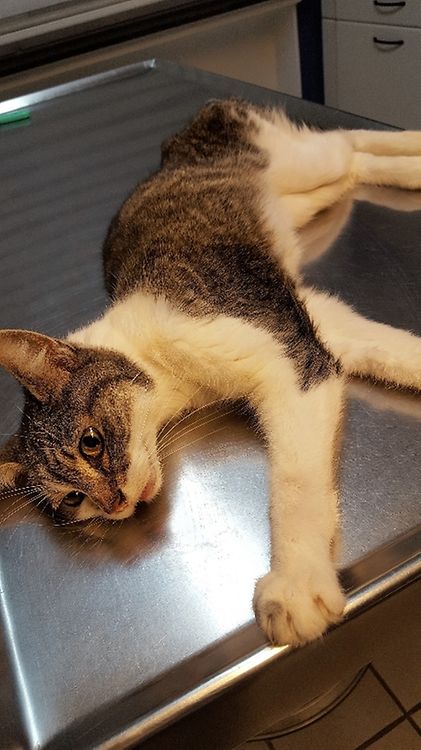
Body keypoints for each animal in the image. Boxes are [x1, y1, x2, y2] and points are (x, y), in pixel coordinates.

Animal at [1, 99, 421, 647]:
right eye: (73, 499)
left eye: (90, 442)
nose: (114, 504)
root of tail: (179, 139)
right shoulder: (310, 325)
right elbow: (389, 349)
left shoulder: (290, 360)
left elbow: (296, 483)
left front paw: (296, 585)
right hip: (303, 199)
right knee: (353, 163)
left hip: (301, 161)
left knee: (347, 139)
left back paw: (412, 153)